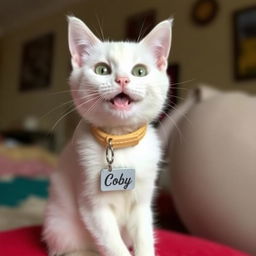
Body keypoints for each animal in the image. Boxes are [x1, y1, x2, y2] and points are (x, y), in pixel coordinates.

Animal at [43, 16, 173, 256]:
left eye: (140, 71)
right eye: (102, 69)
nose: (122, 79)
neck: (121, 143)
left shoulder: (143, 202)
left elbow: (144, 235)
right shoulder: (93, 206)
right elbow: (113, 243)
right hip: (58, 227)